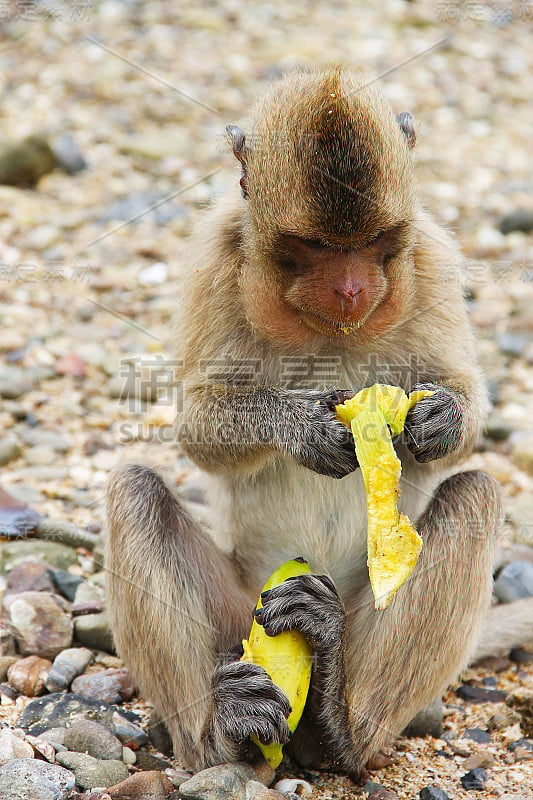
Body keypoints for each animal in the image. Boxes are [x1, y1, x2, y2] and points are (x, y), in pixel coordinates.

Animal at [105, 69, 532, 776]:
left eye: (373, 244)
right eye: (312, 248)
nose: (351, 289)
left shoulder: (431, 255)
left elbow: (464, 401)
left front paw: (440, 420)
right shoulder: (215, 253)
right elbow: (195, 424)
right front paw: (300, 426)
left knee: (474, 495)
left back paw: (340, 724)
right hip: (241, 610)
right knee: (135, 491)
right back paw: (219, 736)